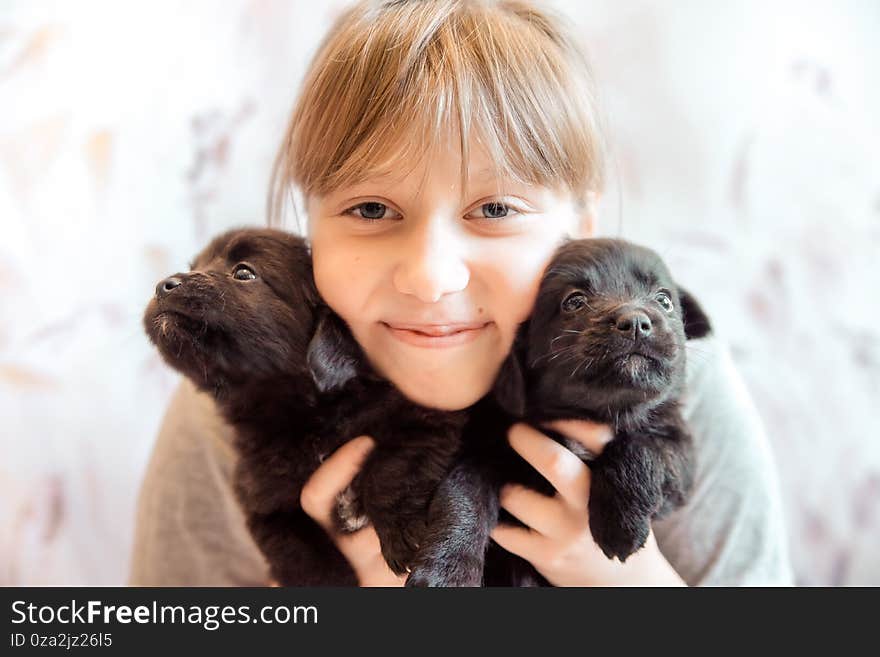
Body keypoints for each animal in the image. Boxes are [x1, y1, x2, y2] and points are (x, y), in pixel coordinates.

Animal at [144, 227, 468, 584]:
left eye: (243, 273)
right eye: (196, 265)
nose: (164, 285)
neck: (304, 416)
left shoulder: (424, 420)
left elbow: (391, 470)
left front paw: (402, 535)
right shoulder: (266, 504)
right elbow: (304, 558)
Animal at [410, 238, 712, 588]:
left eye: (664, 299)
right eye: (574, 301)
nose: (636, 322)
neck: (596, 412)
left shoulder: (680, 458)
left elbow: (642, 446)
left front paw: (620, 521)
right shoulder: (487, 453)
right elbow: (461, 497)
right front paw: (444, 571)